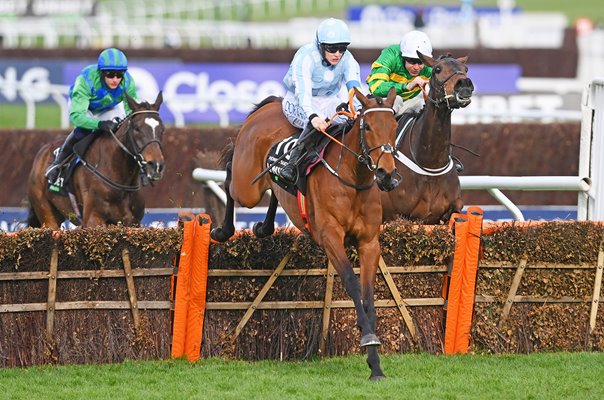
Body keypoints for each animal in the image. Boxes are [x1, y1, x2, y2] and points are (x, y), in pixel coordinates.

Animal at [27, 91, 165, 228]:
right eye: (136, 128)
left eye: (162, 129)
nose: (156, 165)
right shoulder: (93, 220)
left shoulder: (133, 222)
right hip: (47, 215)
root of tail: (42, 151)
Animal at [212, 88, 402, 382]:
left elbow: (369, 294)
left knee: (275, 191)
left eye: (394, 126)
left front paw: (375, 364)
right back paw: (223, 230)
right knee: (231, 174)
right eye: (368, 126)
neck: (352, 178)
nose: (386, 173)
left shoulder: (369, 243)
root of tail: (272, 104)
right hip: (247, 187)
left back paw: (264, 226)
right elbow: (352, 283)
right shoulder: (330, 238)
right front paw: (367, 337)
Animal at [380, 51, 474, 223]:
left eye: (466, 69)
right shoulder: (399, 217)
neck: (431, 163)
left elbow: (456, 212)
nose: (464, 84)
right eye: (437, 69)